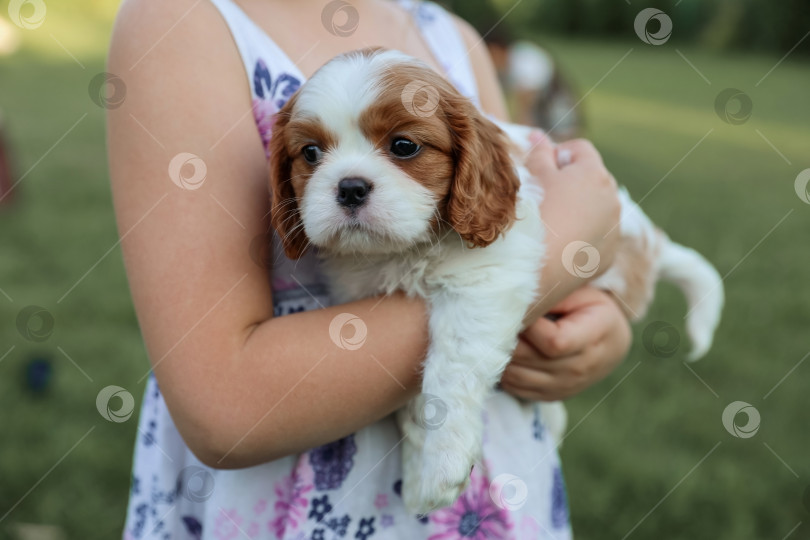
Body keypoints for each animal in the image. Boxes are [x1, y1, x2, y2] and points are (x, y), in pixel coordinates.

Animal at [268, 48, 724, 512]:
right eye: (310, 153)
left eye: (404, 146)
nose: (350, 188)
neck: (403, 251)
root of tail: (648, 239)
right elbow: (408, 400)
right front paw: (416, 472)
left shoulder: (483, 285)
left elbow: (449, 375)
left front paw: (441, 466)